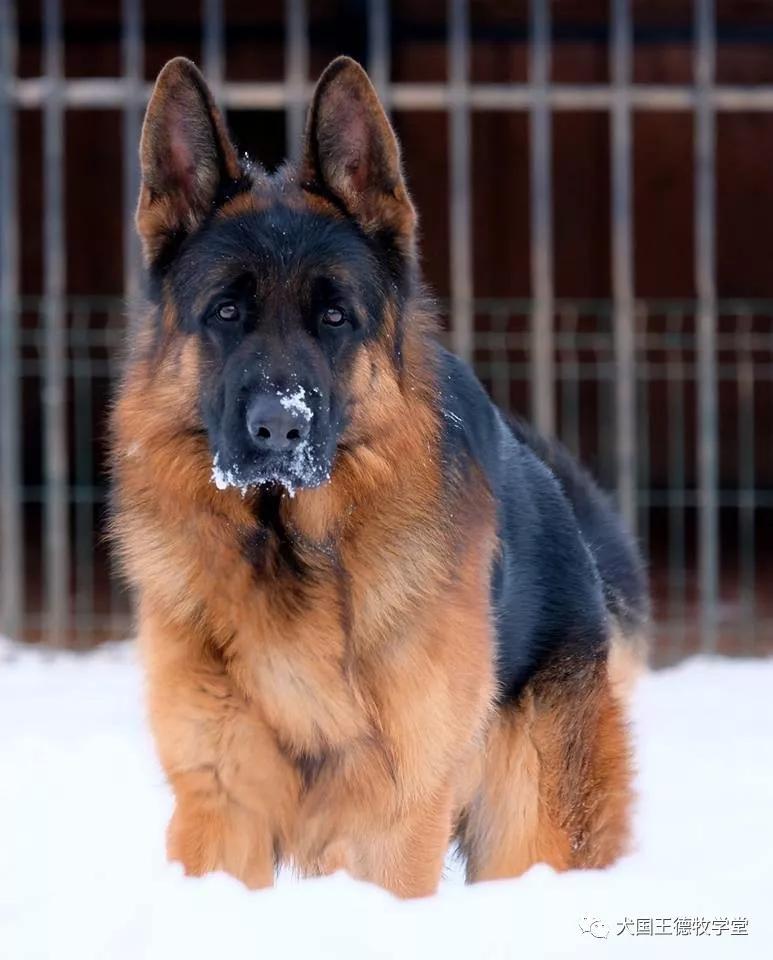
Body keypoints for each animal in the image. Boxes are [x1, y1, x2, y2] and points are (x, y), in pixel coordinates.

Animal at [111, 54, 648, 900]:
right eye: (226, 312)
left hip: (531, 834)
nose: (279, 428)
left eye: (335, 318)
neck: (291, 552)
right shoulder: (220, 804)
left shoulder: (392, 819)